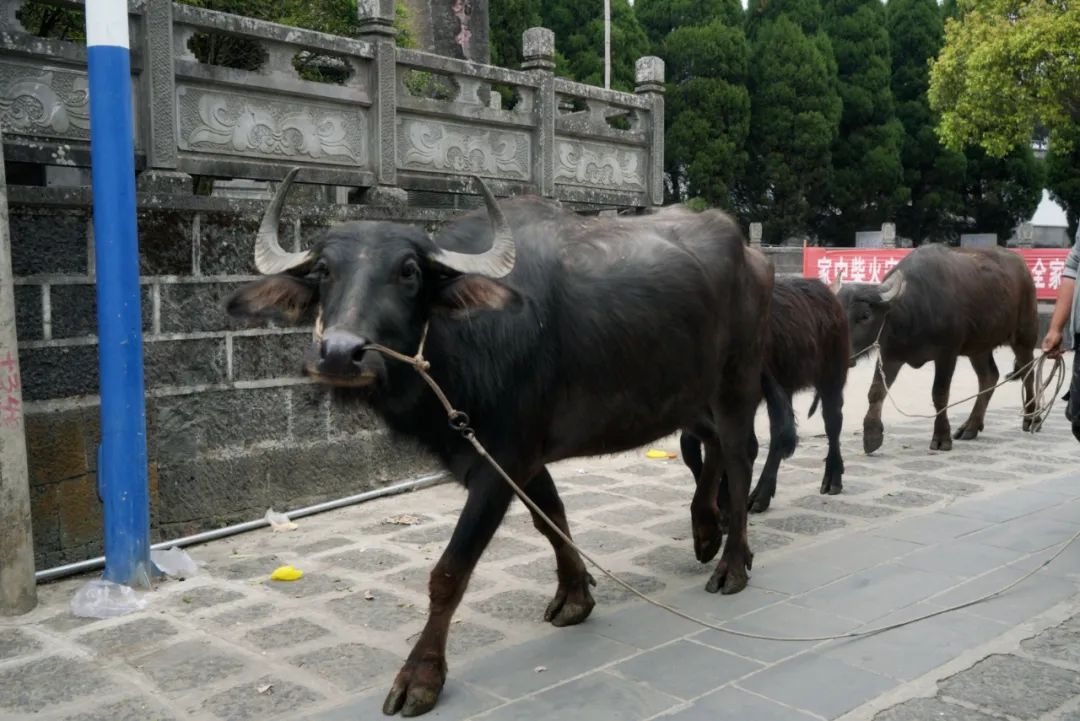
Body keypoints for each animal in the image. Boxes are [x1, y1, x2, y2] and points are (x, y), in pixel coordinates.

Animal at [225, 169, 794, 716]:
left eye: (409, 272)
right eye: (324, 270)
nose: (341, 354)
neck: (462, 345)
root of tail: (753, 256)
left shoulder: (500, 462)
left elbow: (450, 571)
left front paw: (420, 677)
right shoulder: (518, 457)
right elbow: (551, 518)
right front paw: (574, 595)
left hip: (737, 381)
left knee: (740, 454)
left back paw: (732, 563)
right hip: (689, 394)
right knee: (711, 446)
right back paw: (705, 530)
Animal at [682, 273, 851, 515]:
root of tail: (826, 291)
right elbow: (692, 446)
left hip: (832, 376)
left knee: (832, 423)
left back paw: (831, 479)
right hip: (786, 386)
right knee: (778, 436)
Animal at [833, 245, 1036, 453]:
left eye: (865, 315)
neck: (913, 313)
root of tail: (1023, 268)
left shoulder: (947, 354)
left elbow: (940, 394)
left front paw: (941, 437)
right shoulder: (890, 355)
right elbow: (876, 391)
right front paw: (871, 435)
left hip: (1024, 335)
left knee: (1028, 371)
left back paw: (1031, 418)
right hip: (979, 347)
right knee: (989, 376)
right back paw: (971, 426)